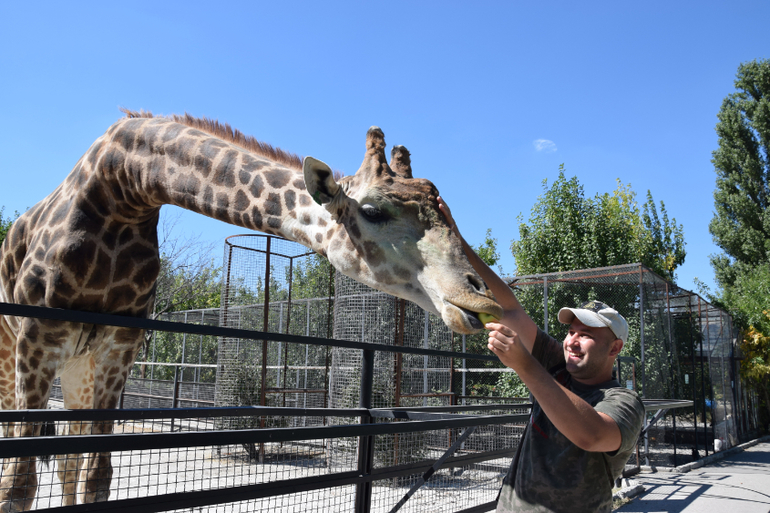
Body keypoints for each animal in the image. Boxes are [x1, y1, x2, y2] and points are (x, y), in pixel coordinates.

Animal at [0, 109, 502, 510]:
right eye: (375, 212)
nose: (480, 297)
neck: (125, 190)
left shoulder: (119, 346)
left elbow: (97, 477)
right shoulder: (37, 337)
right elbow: (18, 485)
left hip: (79, 366)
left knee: (69, 461)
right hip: (15, 355)